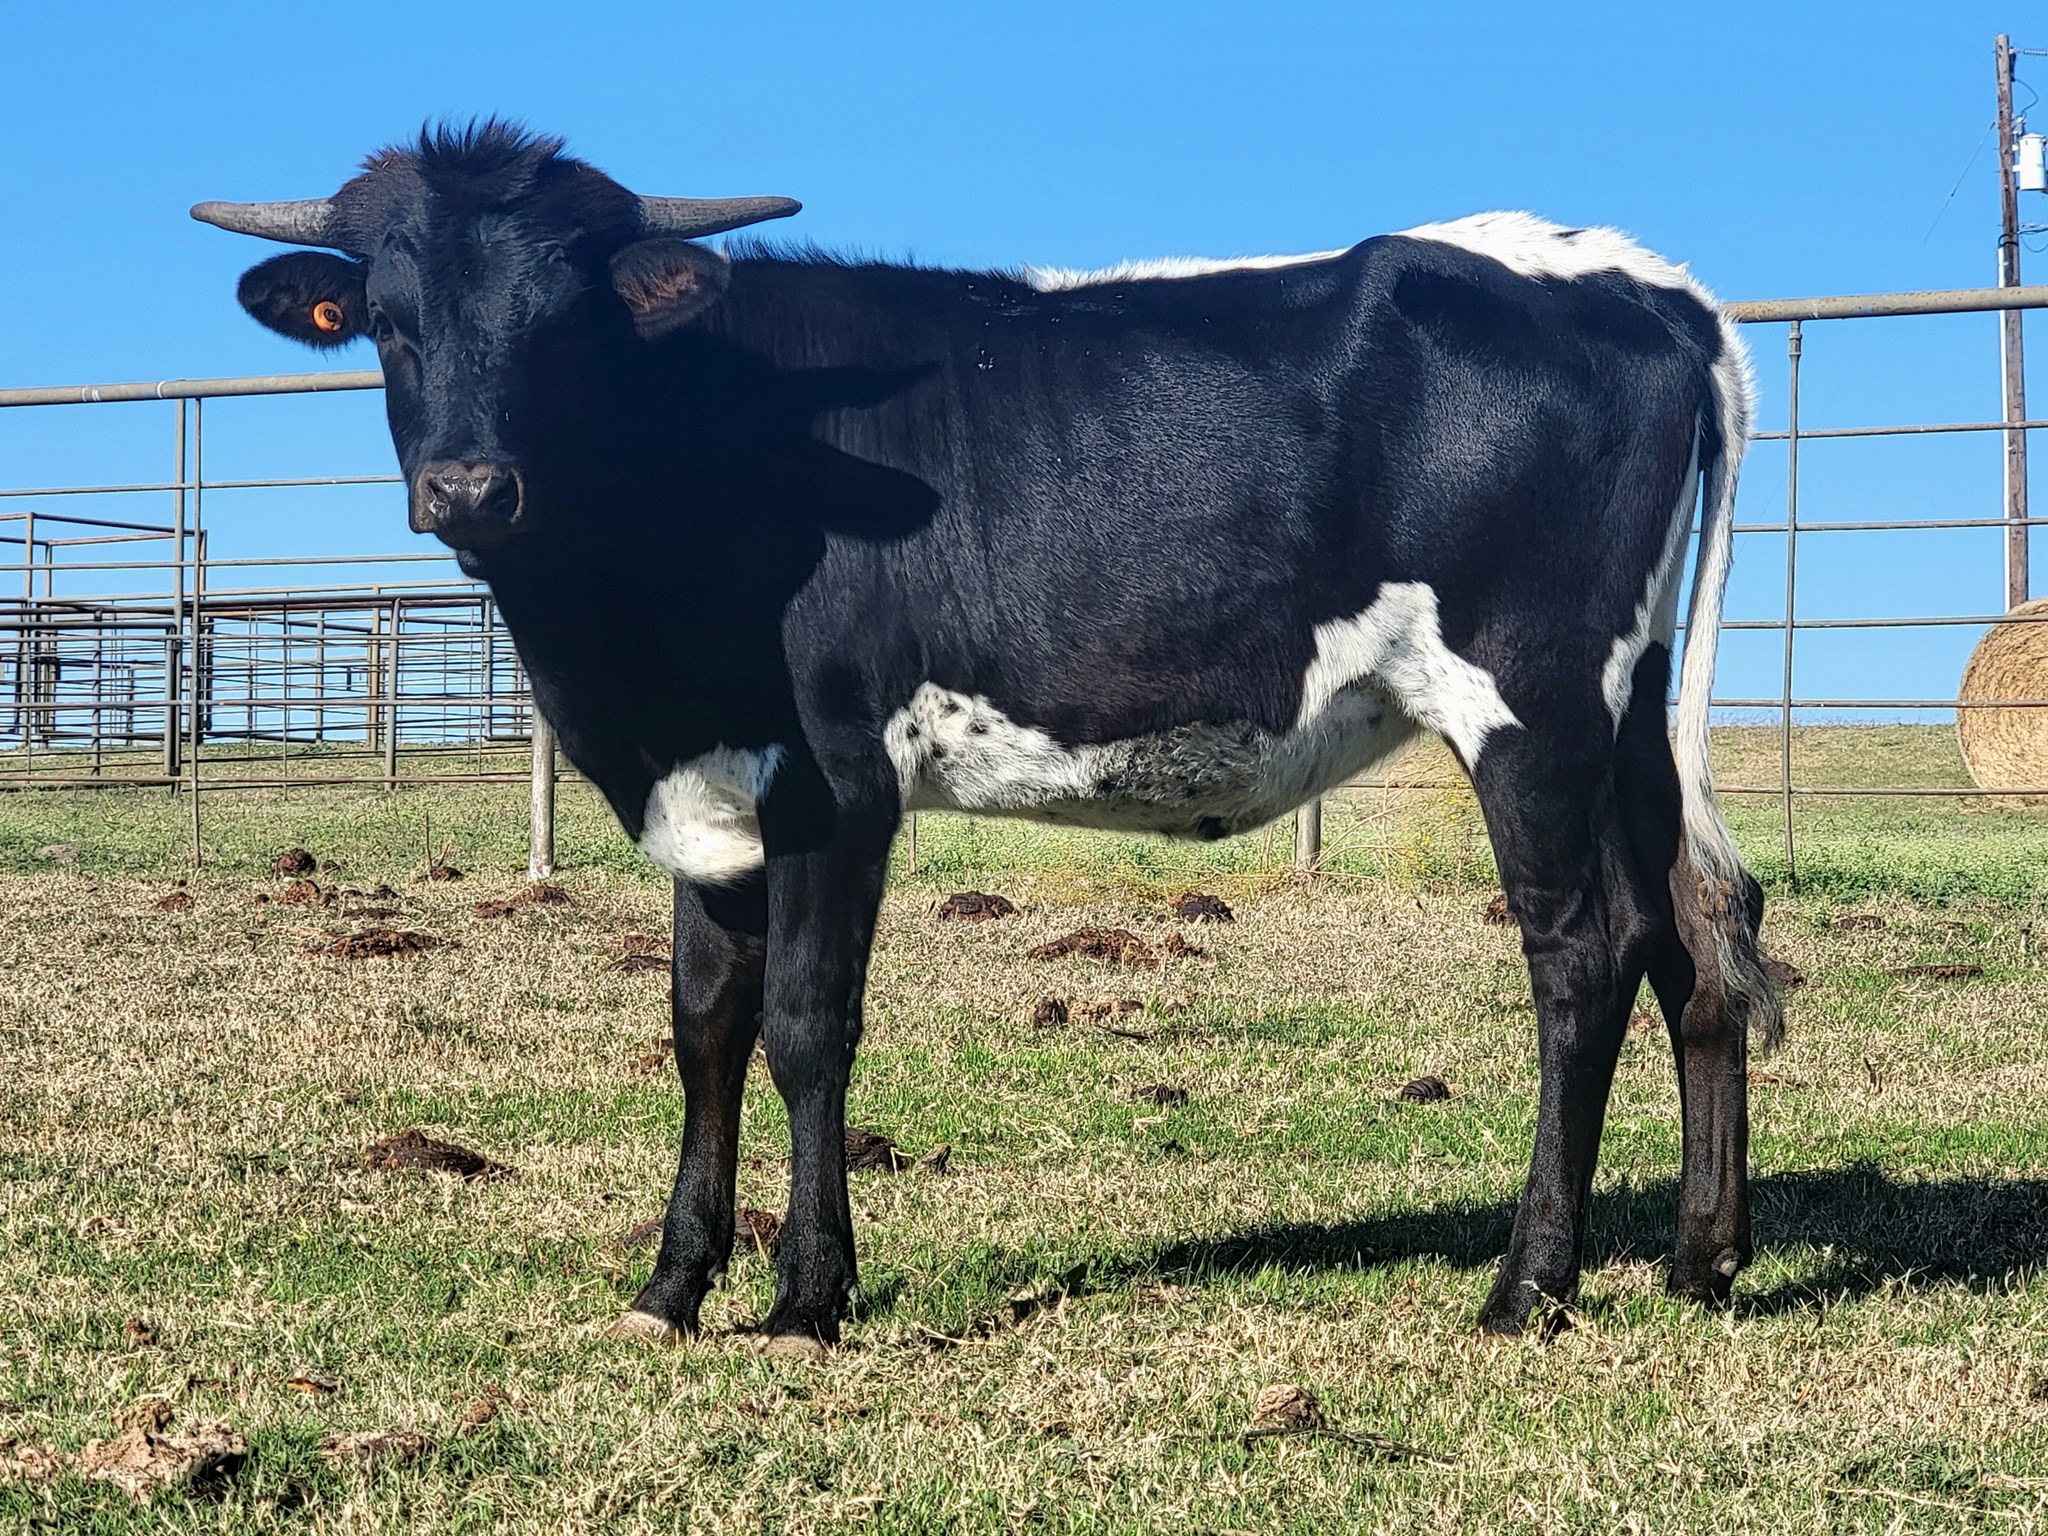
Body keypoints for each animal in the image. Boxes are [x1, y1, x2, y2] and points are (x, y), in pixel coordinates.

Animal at [193, 122, 1781, 1355]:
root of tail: (1642, 283)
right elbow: (701, 1025)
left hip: (1530, 702)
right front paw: (669, 1287)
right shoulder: (709, 793)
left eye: (562, 323)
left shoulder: (836, 781)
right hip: (1628, 707)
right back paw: (1702, 1258)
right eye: (390, 320)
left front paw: (806, 1299)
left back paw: (1527, 1288)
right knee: (1696, 926)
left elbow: (804, 1025)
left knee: (1583, 953)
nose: (470, 489)